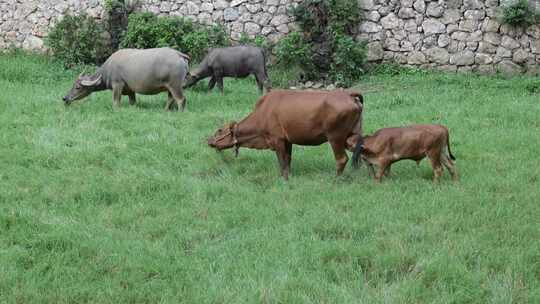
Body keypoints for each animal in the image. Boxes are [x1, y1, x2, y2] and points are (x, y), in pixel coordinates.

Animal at [63, 47, 191, 110]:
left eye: (77, 87)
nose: (65, 98)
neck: (108, 69)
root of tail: (179, 54)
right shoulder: (130, 90)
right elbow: (132, 102)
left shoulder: (117, 85)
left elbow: (115, 101)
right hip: (169, 87)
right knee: (170, 99)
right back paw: (165, 110)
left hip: (175, 85)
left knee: (181, 99)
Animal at [209, 90, 364, 180]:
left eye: (219, 130)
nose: (209, 140)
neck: (263, 112)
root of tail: (348, 94)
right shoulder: (287, 141)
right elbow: (288, 160)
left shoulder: (277, 140)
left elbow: (282, 161)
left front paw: (283, 179)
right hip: (353, 137)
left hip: (335, 137)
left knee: (342, 159)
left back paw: (334, 179)